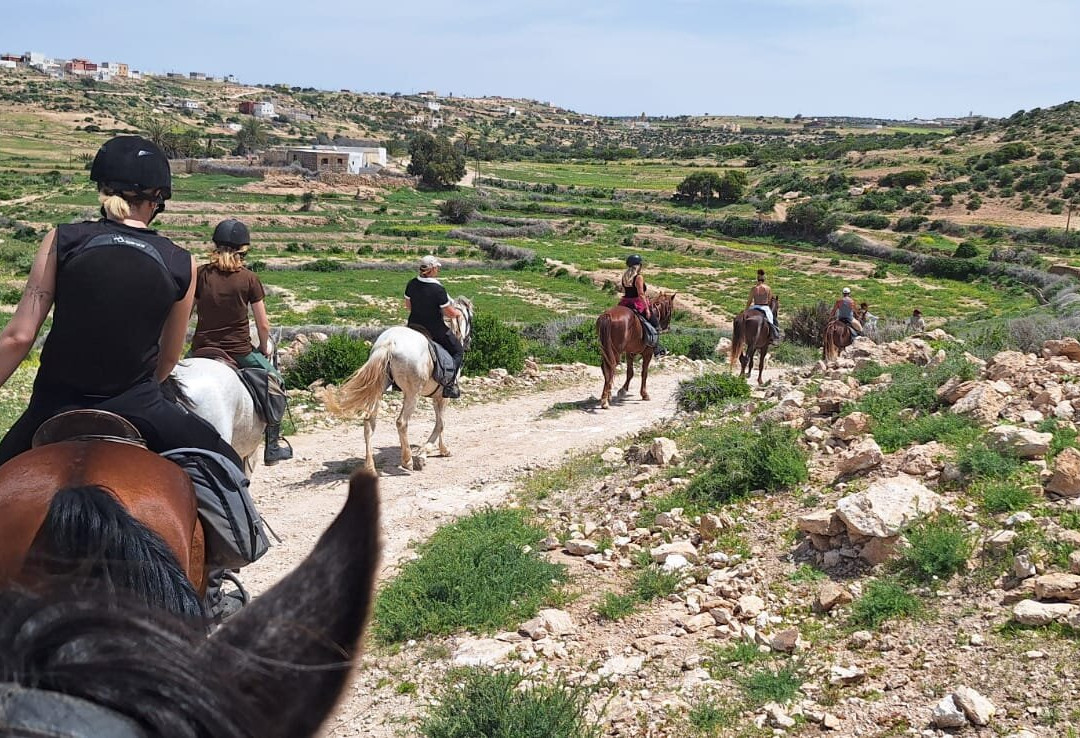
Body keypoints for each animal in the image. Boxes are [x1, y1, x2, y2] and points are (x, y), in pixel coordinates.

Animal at [329, 297, 473, 473]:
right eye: (470, 317)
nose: (468, 342)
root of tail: (390, 343)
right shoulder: (442, 396)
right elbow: (441, 423)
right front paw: (428, 453)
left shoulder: (435, 396)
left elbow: (440, 422)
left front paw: (435, 450)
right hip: (412, 394)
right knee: (401, 422)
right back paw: (407, 460)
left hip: (378, 390)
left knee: (369, 422)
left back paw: (370, 466)